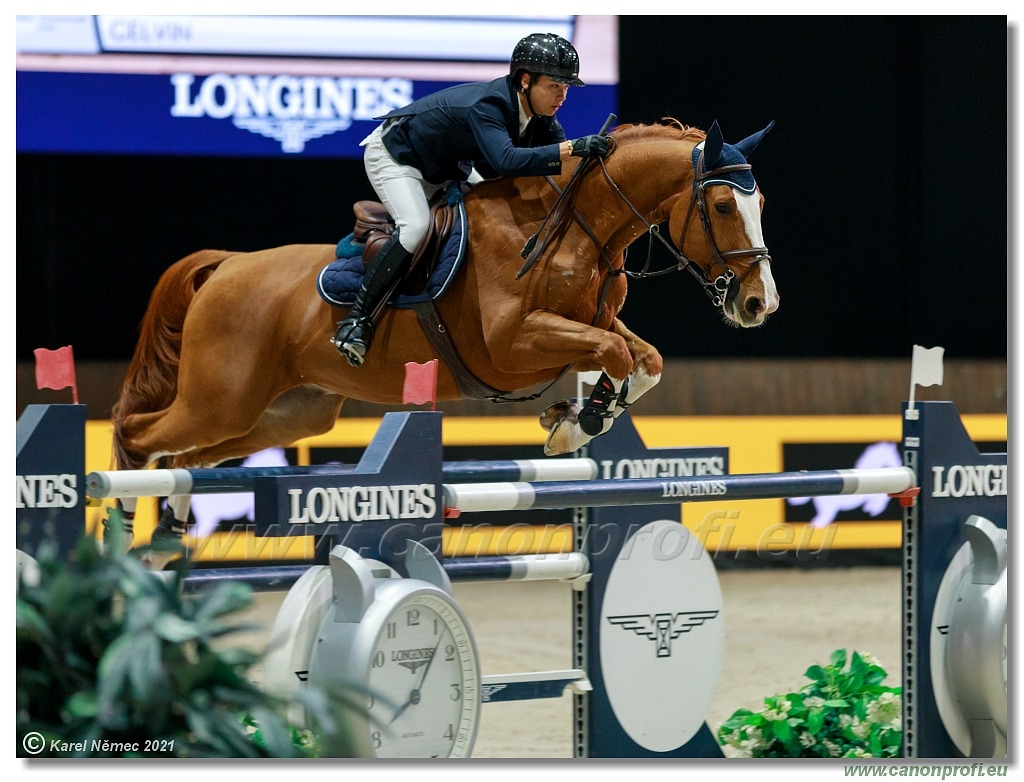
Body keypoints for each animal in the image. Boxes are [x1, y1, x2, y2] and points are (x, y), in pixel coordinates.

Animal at [105, 116, 774, 560]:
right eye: (720, 207)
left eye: (760, 203)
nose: (758, 303)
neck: (574, 227)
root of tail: (227, 266)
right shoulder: (513, 346)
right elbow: (612, 352)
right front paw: (575, 422)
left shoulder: (593, 324)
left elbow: (644, 359)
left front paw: (577, 417)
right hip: (220, 398)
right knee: (137, 434)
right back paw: (120, 529)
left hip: (283, 413)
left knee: (189, 459)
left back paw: (166, 535)